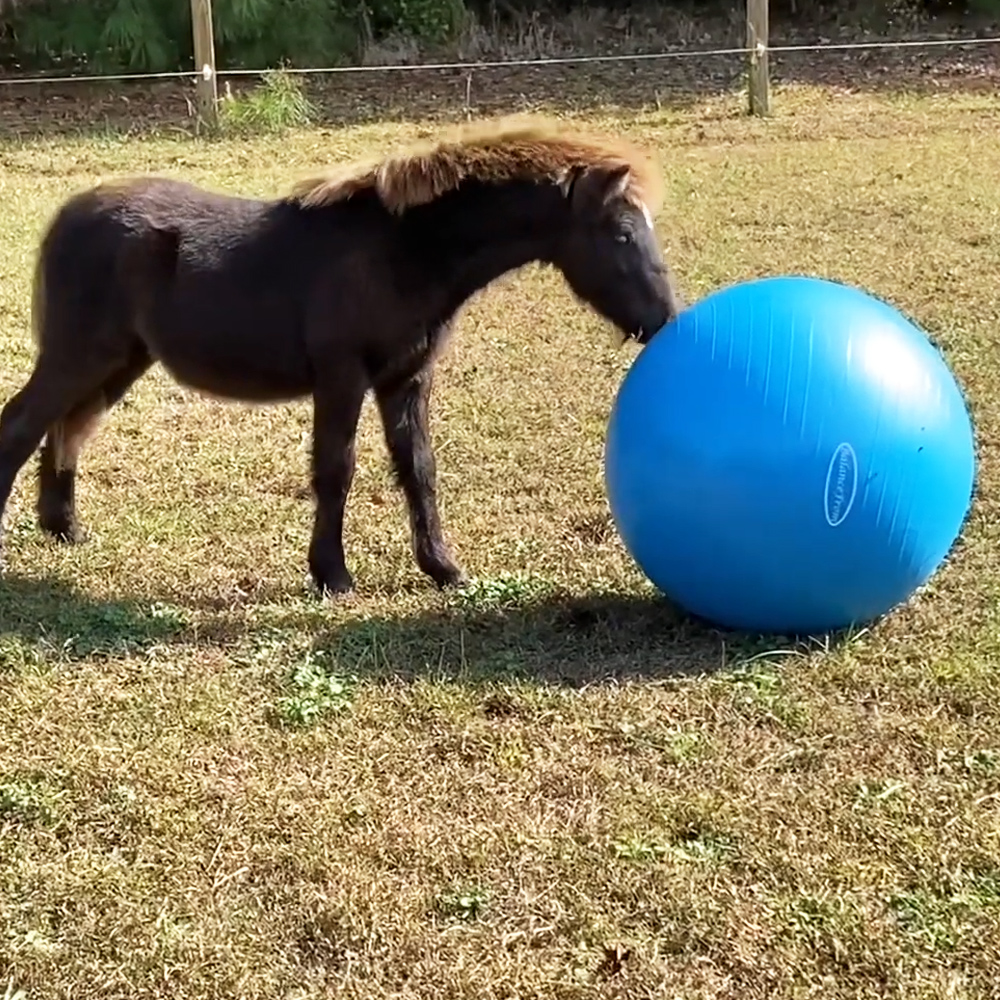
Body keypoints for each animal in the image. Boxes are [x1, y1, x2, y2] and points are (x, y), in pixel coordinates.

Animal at [0, 116, 685, 596]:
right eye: (623, 232)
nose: (664, 320)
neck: (400, 251)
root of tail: (68, 214)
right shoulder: (341, 376)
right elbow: (337, 469)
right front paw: (332, 575)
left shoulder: (406, 379)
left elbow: (418, 469)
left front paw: (443, 568)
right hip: (79, 355)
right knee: (23, 425)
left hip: (118, 361)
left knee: (67, 428)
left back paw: (65, 528)